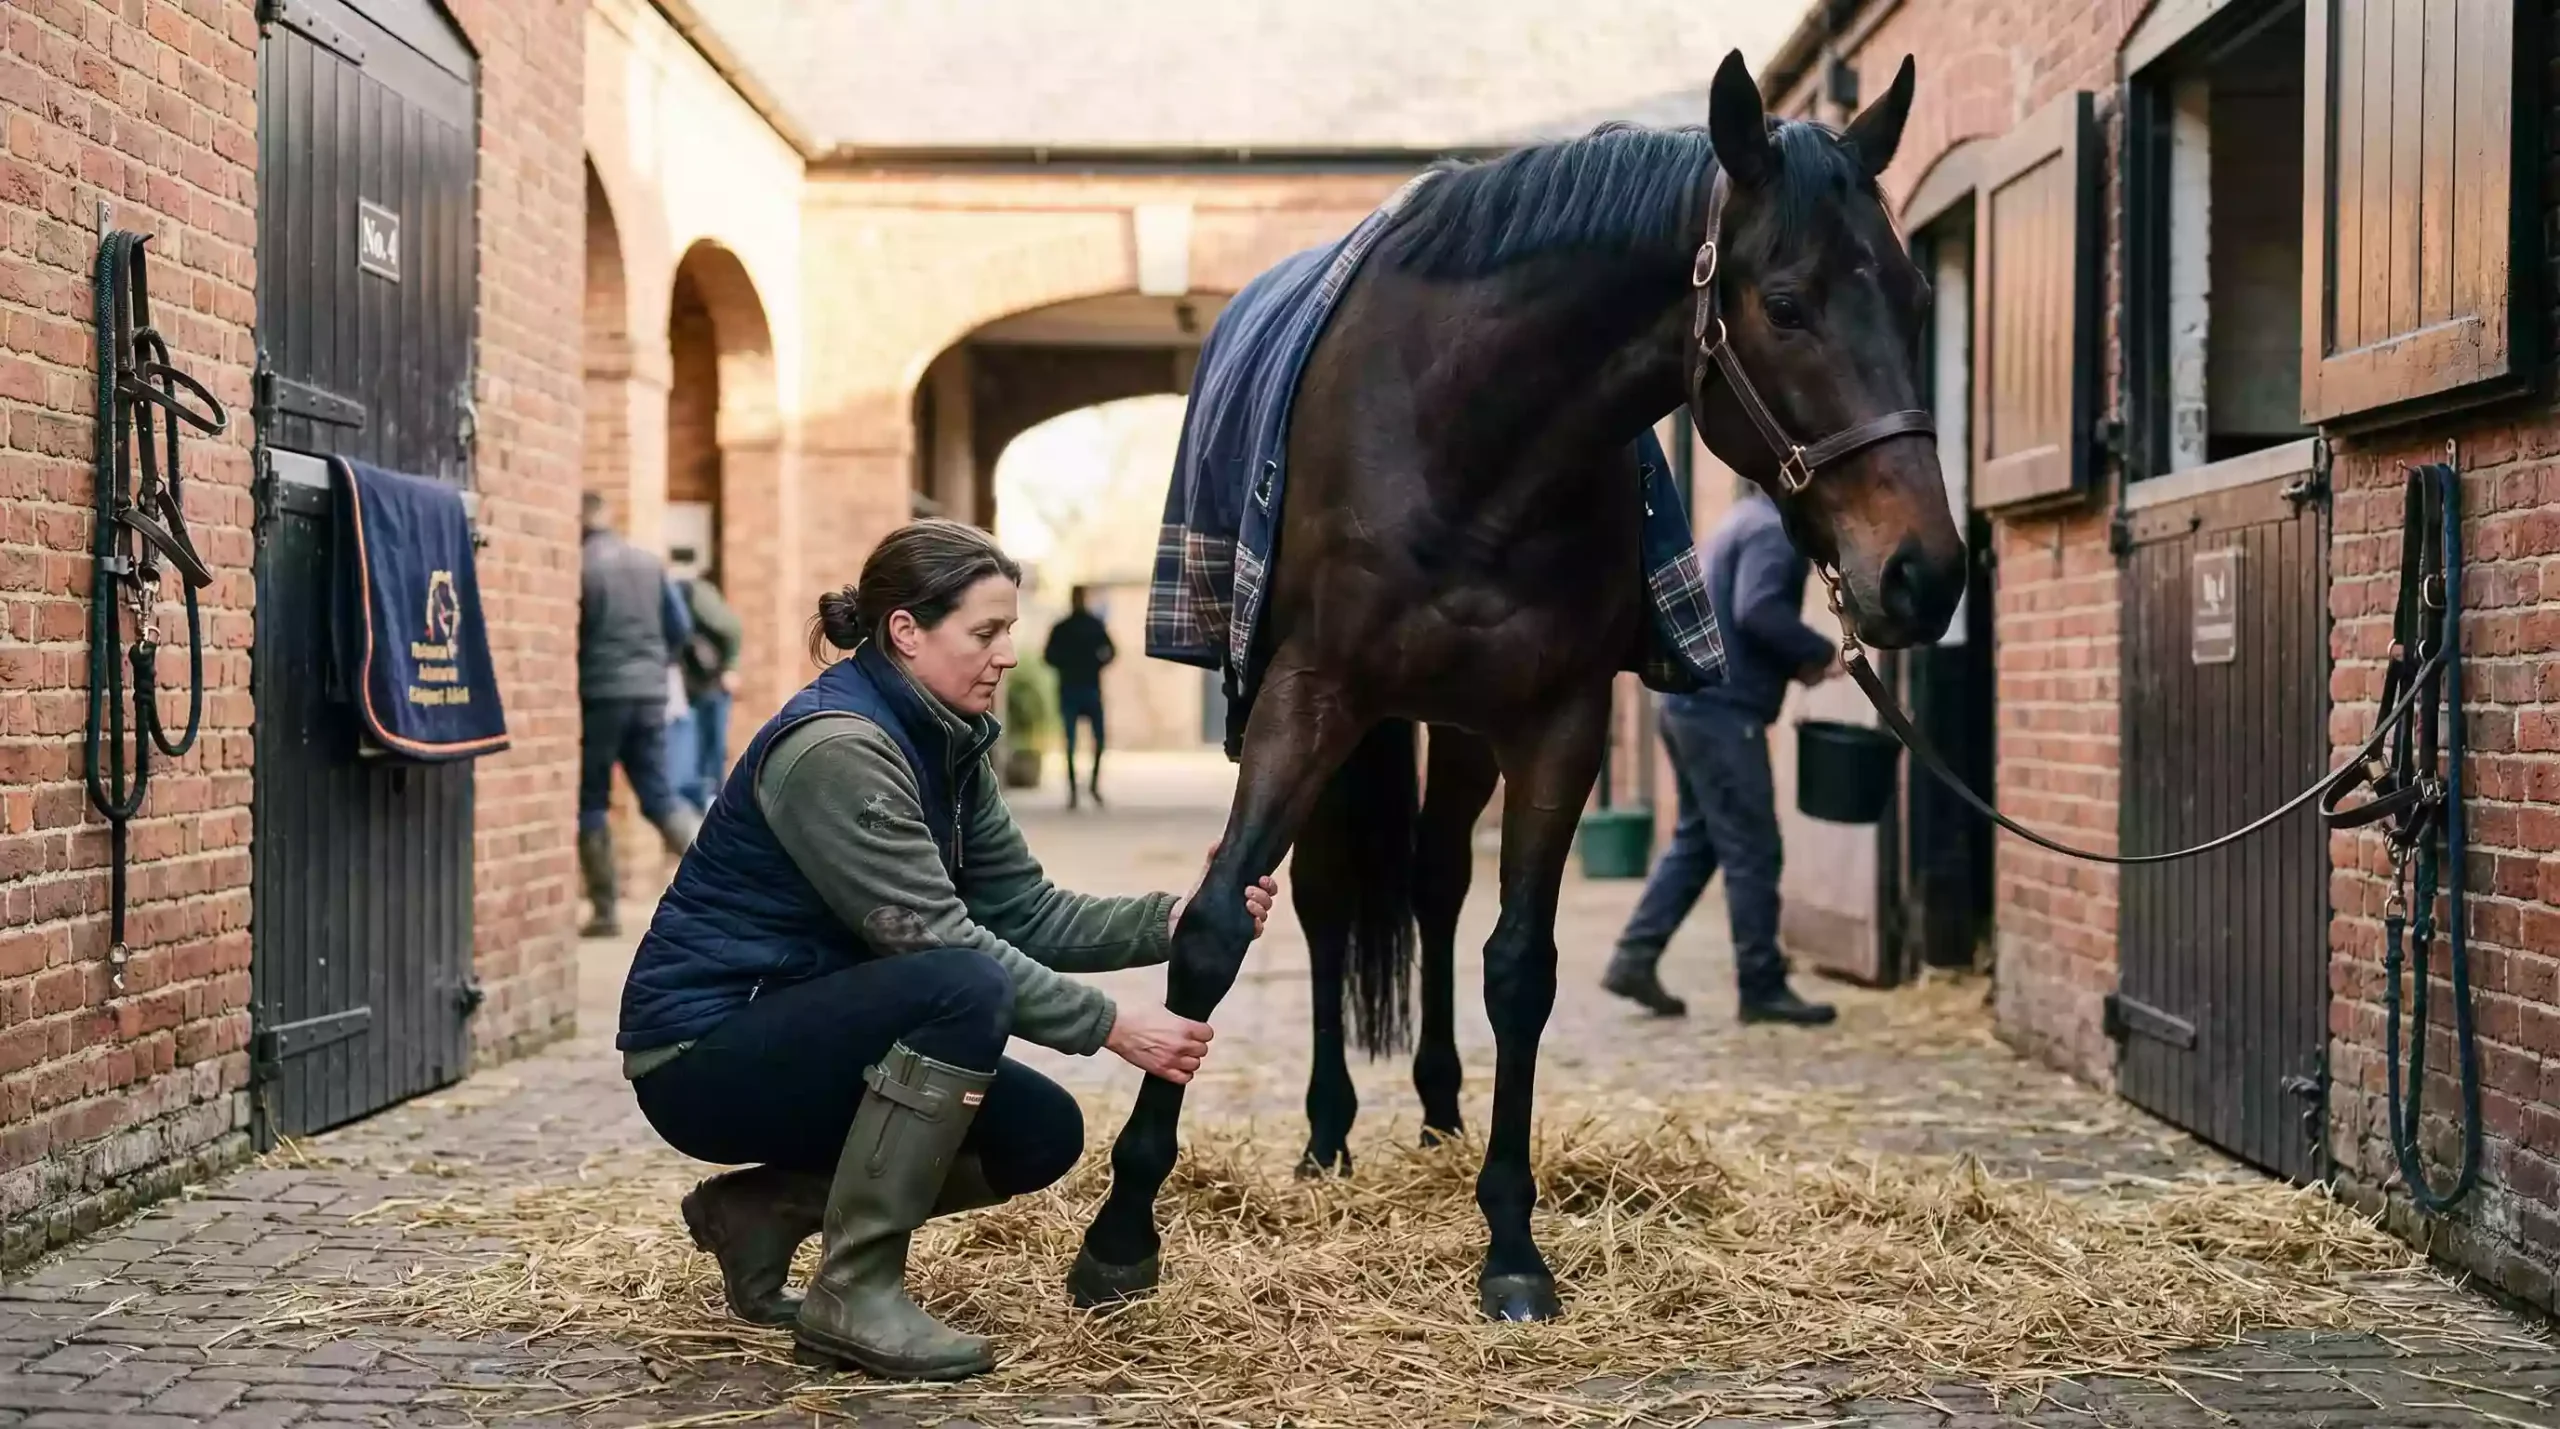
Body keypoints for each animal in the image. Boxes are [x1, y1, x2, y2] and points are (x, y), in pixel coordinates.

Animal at [1074, 49, 1963, 1323]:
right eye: (1786, 304)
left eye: (1913, 298)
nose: (1923, 572)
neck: (1466, 437)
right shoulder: (1304, 697)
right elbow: (1211, 928)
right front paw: (1117, 1232)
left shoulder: (1555, 725)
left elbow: (1518, 965)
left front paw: (1510, 1241)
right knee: (1328, 904)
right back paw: (1326, 1133)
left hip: (1458, 729)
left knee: (1437, 884)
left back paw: (1439, 1111)